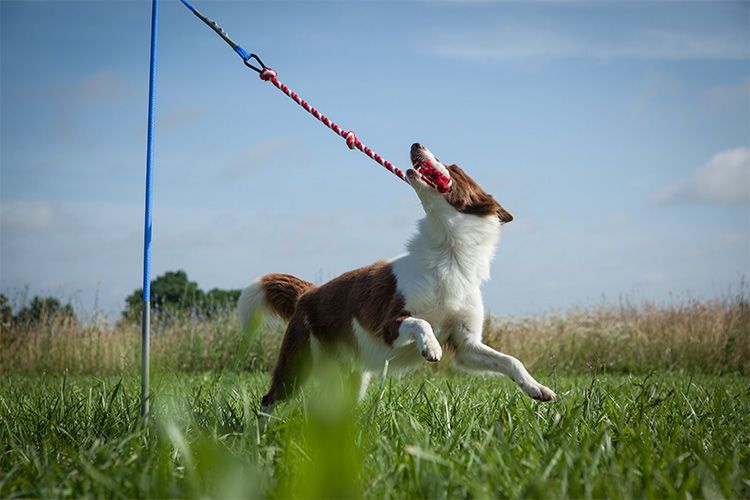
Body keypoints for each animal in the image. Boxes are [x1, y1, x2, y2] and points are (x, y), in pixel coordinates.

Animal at [241, 143, 560, 416]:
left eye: (452, 168)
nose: (416, 143)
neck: (449, 252)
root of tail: (309, 293)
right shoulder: (388, 324)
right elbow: (421, 322)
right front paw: (431, 346)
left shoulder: (466, 345)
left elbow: (510, 360)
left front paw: (537, 388)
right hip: (299, 361)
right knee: (269, 399)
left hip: (351, 374)